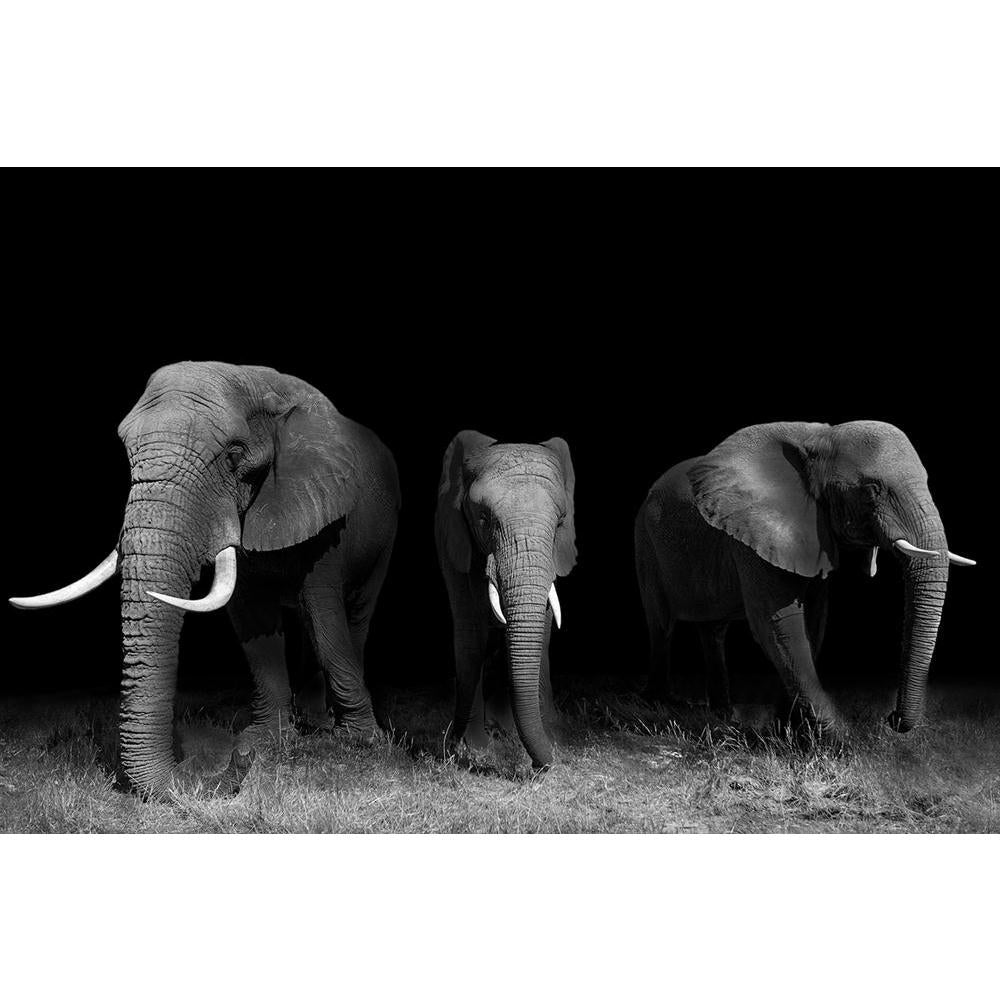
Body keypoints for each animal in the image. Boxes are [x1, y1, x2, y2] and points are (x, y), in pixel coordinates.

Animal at [9, 361, 400, 798]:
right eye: (128, 452)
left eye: (233, 455)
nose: (238, 759)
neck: (260, 385)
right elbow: (252, 620)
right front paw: (265, 740)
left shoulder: (326, 507)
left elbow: (324, 616)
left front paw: (360, 742)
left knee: (354, 615)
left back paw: (330, 724)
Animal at [435, 432, 577, 769]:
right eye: (484, 519)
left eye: (560, 522)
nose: (542, 765)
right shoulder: (453, 539)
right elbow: (471, 632)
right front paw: (474, 751)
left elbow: (542, 629)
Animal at [634, 420, 974, 735]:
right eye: (871, 490)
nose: (892, 719)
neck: (820, 439)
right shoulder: (751, 532)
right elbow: (777, 625)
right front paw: (840, 739)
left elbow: (814, 620)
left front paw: (790, 729)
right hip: (646, 543)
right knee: (661, 623)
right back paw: (658, 706)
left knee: (712, 629)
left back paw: (722, 715)